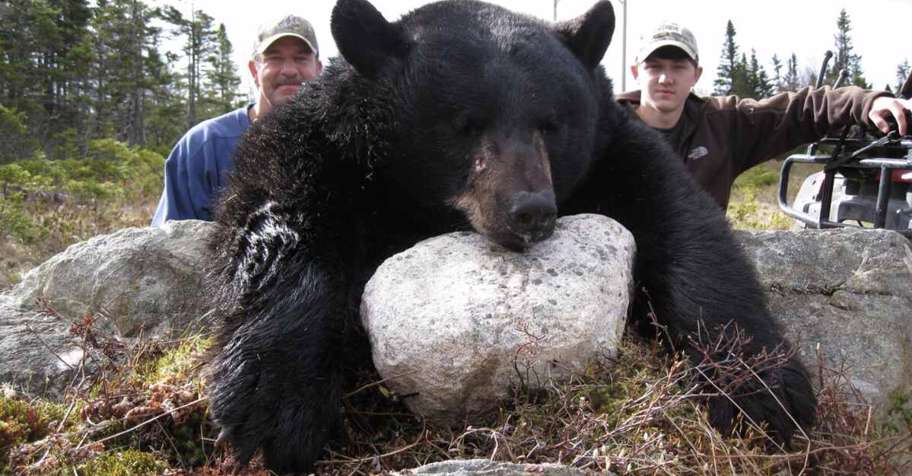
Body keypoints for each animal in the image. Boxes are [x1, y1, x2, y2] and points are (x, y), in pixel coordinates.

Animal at [204, 0, 817, 473]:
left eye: (551, 122)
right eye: (465, 122)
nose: (530, 210)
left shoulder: (615, 151)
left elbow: (685, 228)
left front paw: (762, 393)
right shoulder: (321, 147)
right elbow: (279, 221)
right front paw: (274, 404)